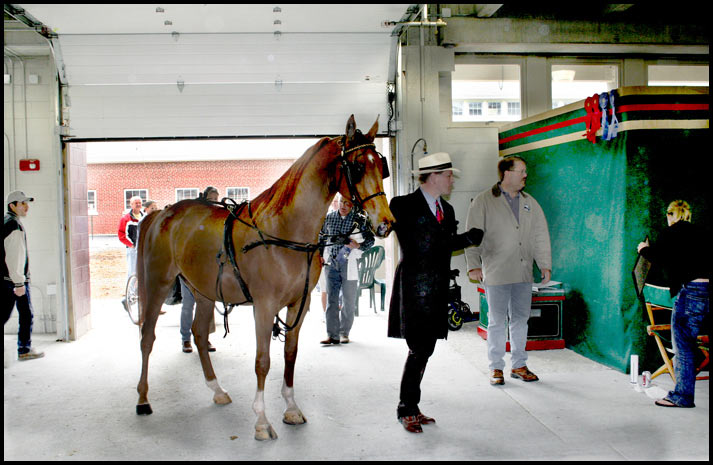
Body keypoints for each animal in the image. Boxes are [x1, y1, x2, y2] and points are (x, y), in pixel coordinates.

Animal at [134, 115, 394, 438]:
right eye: (357, 167)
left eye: (381, 166)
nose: (386, 222)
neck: (284, 231)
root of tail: (162, 213)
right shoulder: (264, 306)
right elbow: (263, 361)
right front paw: (261, 420)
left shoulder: (299, 304)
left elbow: (290, 354)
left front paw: (291, 409)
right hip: (158, 283)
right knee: (147, 336)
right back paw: (143, 399)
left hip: (203, 291)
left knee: (198, 333)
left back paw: (217, 390)